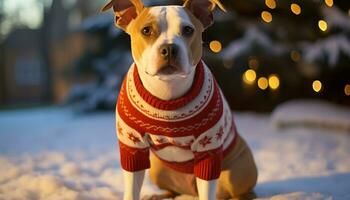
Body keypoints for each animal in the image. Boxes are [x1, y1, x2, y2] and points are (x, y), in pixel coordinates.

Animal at [101, 0, 258, 199]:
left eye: (188, 30)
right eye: (146, 30)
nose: (169, 48)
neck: (167, 93)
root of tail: (190, 191)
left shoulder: (209, 148)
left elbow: (207, 187)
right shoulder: (132, 146)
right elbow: (131, 190)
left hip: (236, 173)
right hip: (157, 170)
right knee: (173, 191)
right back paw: (157, 195)